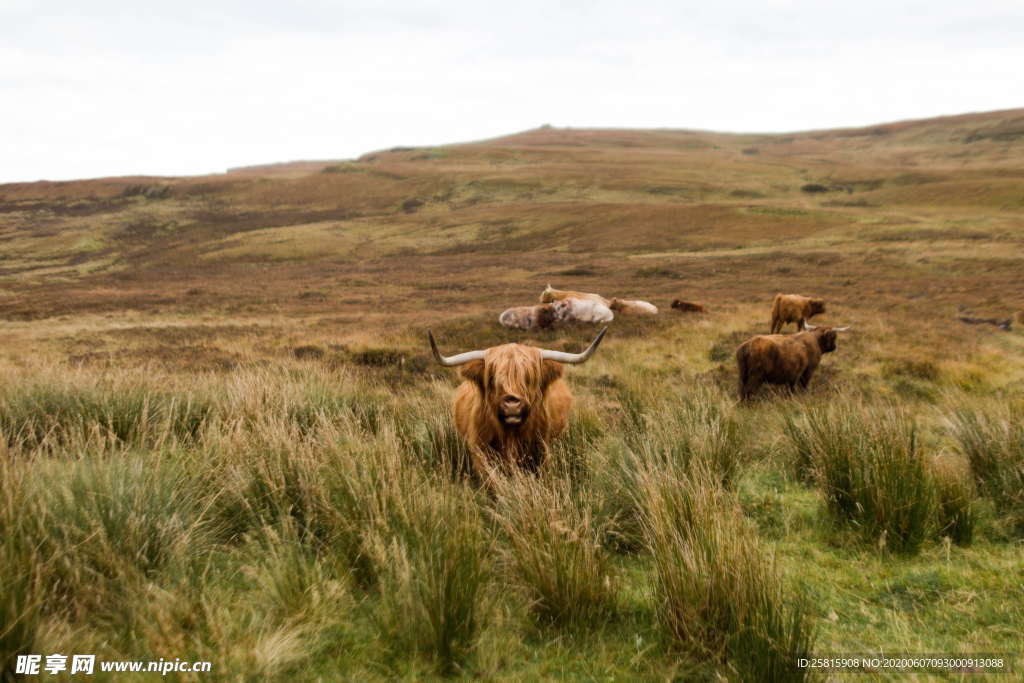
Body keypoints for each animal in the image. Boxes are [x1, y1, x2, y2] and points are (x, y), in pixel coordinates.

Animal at [425, 327, 602, 475]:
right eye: (493, 378)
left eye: (529, 378)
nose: (512, 404)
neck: (511, 437)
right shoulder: (481, 452)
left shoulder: (540, 450)